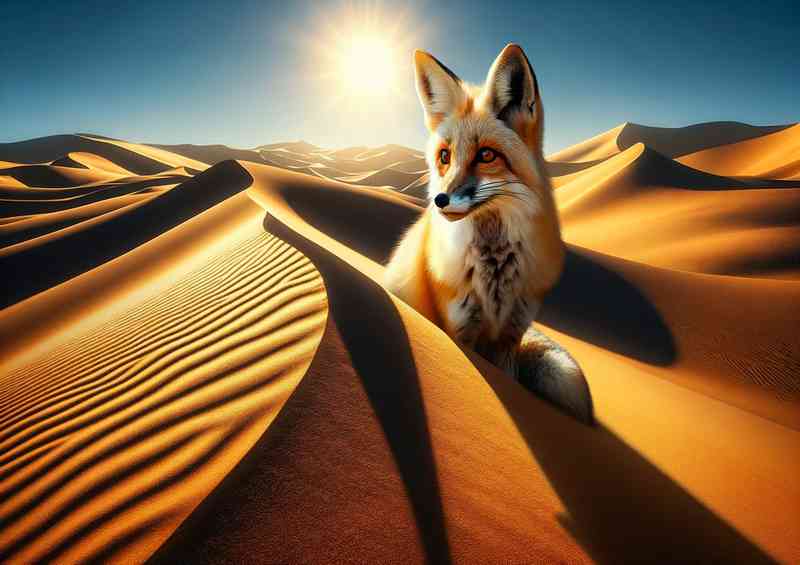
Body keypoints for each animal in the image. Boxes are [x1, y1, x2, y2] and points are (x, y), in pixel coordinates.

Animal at [385, 44, 593, 424]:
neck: (494, 272)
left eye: (486, 155)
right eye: (445, 156)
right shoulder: (458, 328)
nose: (440, 200)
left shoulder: (512, 332)